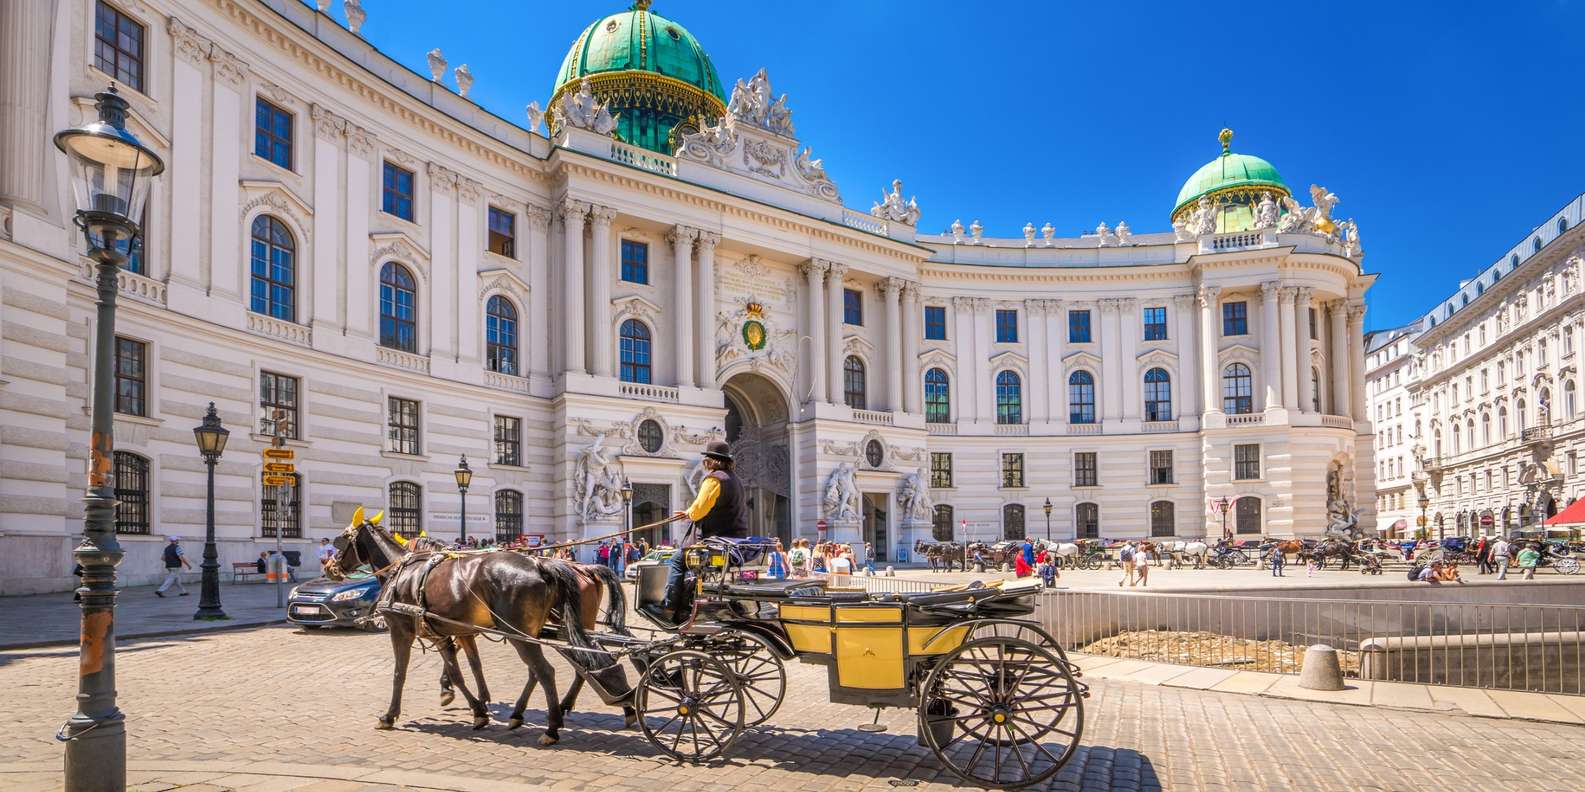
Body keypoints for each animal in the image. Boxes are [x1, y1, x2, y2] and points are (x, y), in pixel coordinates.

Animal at [328, 506, 624, 741]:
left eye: (341, 540)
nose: (330, 567)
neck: (405, 571)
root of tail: (544, 566)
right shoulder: (451, 632)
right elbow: (467, 668)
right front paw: (478, 706)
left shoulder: (402, 631)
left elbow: (401, 673)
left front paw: (390, 715)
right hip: (541, 632)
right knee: (561, 667)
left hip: (524, 632)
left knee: (548, 671)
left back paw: (552, 727)